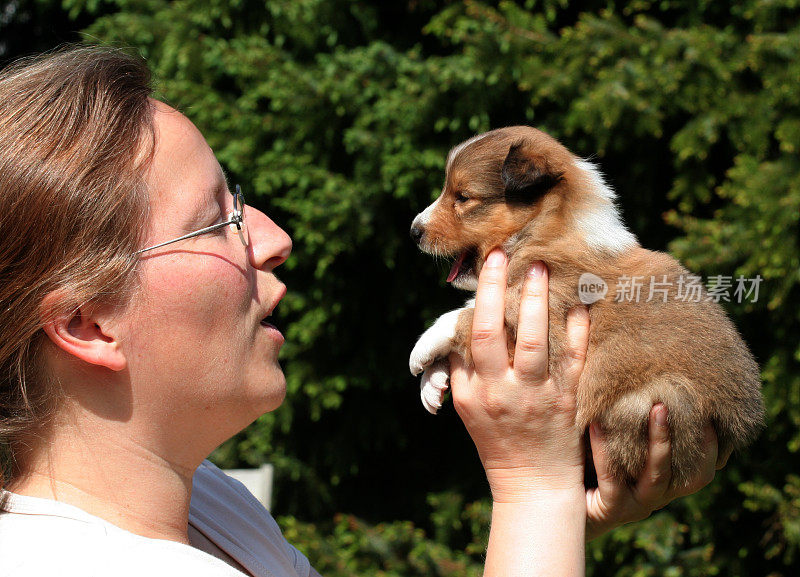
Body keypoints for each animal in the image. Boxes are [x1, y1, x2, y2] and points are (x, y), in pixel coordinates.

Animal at [410, 126, 764, 486]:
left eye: (463, 197)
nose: (413, 231)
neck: (546, 230)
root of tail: (742, 425)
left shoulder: (545, 317)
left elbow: (465, 314)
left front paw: (422, 348)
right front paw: (432, 383)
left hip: (658, 400)